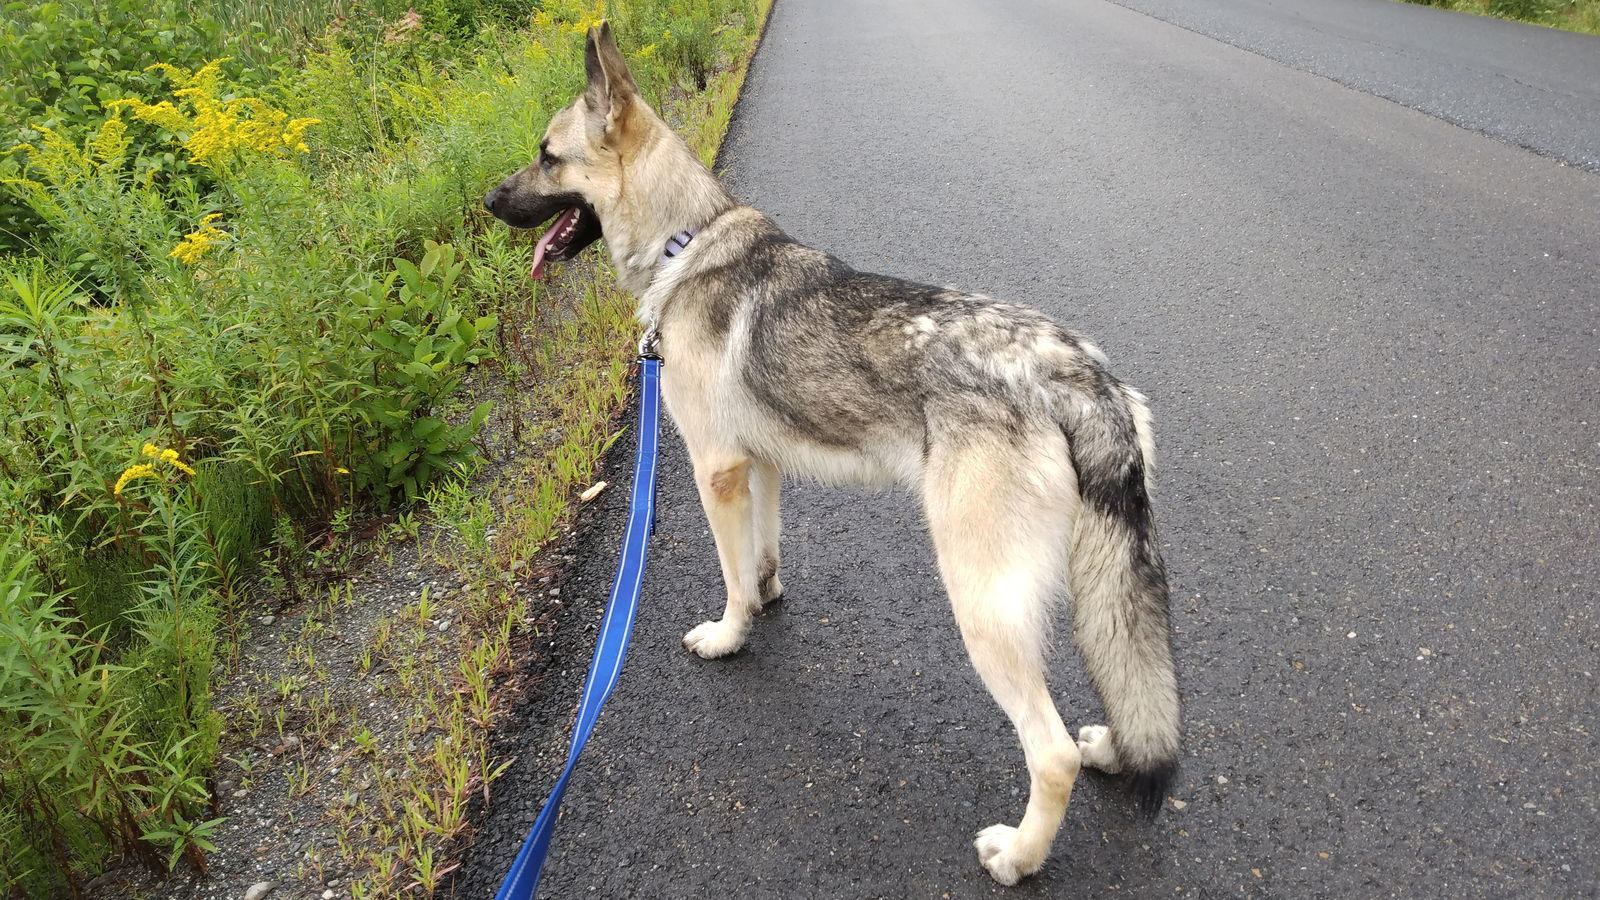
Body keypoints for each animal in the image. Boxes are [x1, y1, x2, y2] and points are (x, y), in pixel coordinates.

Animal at [480, 22, 1184, 883]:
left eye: (548, 157)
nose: (486, 202)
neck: (688, 242)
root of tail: (1076, 373)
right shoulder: (761, 466)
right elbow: (762, 556)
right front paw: (766, 595)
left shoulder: (715, 471)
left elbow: (730, 578)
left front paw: (731, 636)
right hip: (1097, 583)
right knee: (1123, 687)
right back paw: (1115, 749)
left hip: (982, 603)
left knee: (1051, 755)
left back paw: (1018, 855)